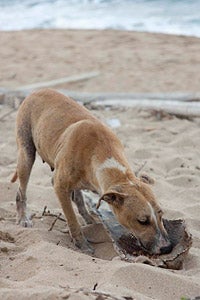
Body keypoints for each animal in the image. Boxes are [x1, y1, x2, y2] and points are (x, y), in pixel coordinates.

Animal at [11, 88, 172, 254]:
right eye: (142, 221)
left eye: (161, 213)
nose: (167, 248)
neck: (101, 149)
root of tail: (38, 90)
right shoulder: (59, 186)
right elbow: (72, 219)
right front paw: (81, 243)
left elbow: (79, 200)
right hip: (26, 154)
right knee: (21, 191)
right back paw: (23, 218)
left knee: (78, 197)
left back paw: (89, 219)